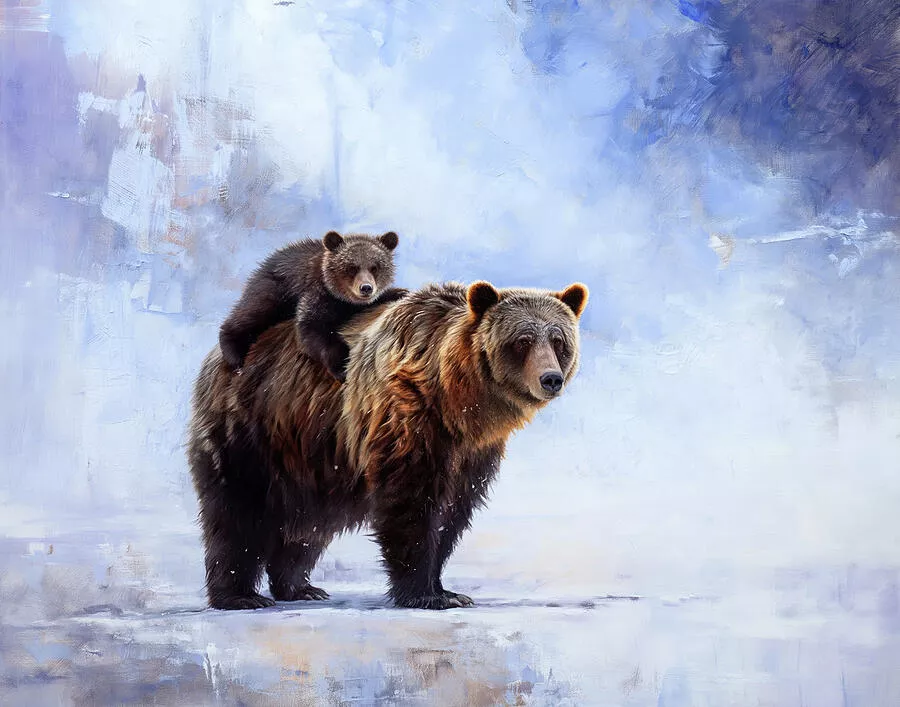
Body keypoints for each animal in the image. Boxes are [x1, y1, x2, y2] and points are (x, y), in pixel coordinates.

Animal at [187, 279, 588, 610]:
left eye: (558, 341)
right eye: (522, 341)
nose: (550, 379)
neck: (456, 400)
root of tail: (214, 358)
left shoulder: (471, 452)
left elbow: (454, 511)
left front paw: (447, 590)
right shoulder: (406, 416)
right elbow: (411, 501)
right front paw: (426, 594)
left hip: (313, 457)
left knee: (309, 524)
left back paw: (299, 587)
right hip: (254, 430)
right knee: (237, 512)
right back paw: (239, 596)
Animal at [218, 230, 406, 382]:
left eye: (375, 267)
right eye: (351, 267)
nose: (366, 288)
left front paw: (399, 292)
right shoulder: (316, 294)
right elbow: (313, 328)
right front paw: (342, 367)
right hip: (274, 290)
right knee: (251, 314)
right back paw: (236, 356)